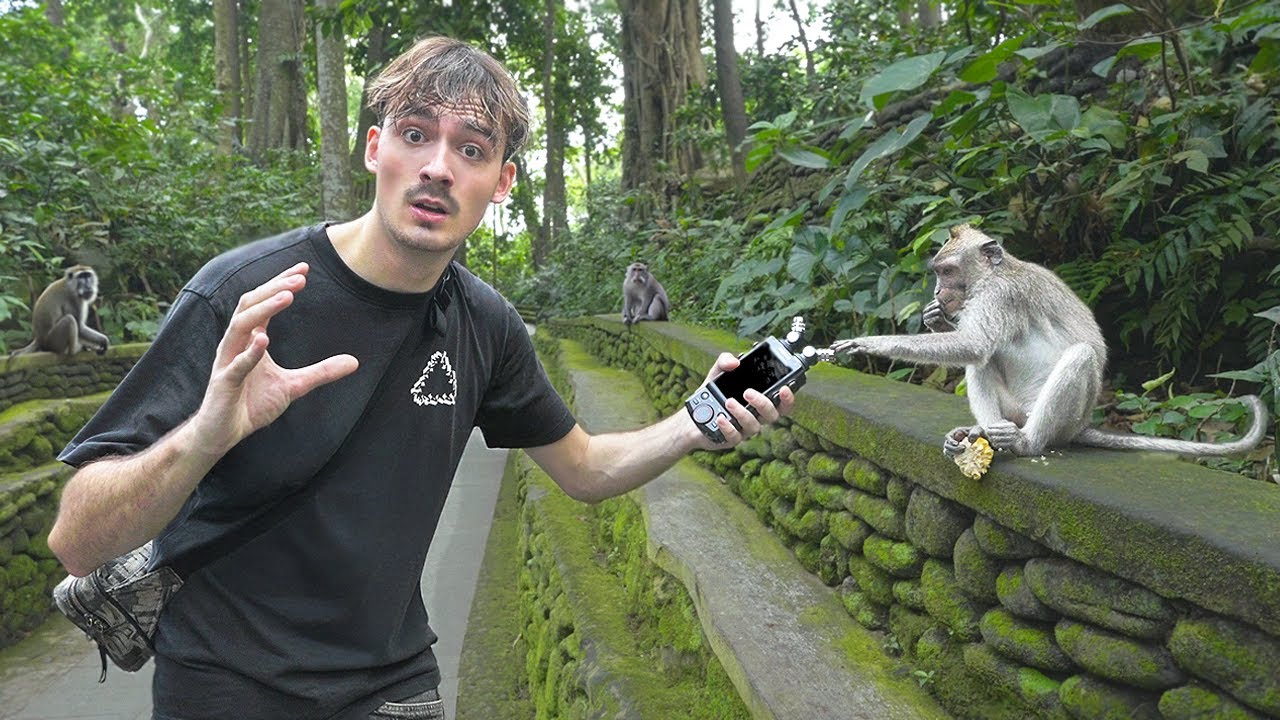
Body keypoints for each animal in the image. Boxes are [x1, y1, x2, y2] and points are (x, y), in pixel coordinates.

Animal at [831, 224, 1267, 458]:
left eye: (947, 270)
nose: (938, 292)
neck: (994, 273)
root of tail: (1081, 426)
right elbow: (974, 348)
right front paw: (935, 318)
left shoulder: (1000, 295)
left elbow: (975, 342)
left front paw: (870, 343)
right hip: (1013, 408)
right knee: (984, 363)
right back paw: (982, 432)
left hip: (1059, 419)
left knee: (1077, 356)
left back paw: (1026, 443)